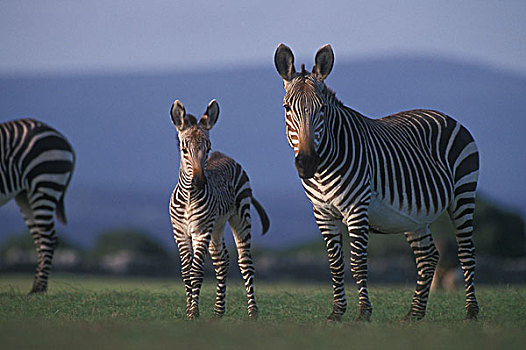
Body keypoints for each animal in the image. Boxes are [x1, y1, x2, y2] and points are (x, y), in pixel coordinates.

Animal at [169, 98, 270, 320]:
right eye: (184, 150)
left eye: (207, 149)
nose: (199, 182)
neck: (189, 197)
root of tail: (225, 156)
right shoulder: (180, 232)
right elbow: (185, 272)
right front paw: (189, 310)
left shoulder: (201, 231)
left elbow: (196, 272)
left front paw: (193, 313)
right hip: (217, 225)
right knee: (221, 260)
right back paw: (218, 312)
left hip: (240, 217)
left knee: (245, 263)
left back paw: (253, 312)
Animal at [276, 44, 482, 322]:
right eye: (287, 108)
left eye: (322, 109)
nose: (307, 163)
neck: (323, 170)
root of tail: (446, 116)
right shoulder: (322, 213)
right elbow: (335, 264)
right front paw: (336, 312)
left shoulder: (357, 209)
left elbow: (357, 263)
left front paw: (363, 313)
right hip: (414, 214)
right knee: (428, 257)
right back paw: (414, 313)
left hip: (463, 193)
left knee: (466, 252)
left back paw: (471, 311)